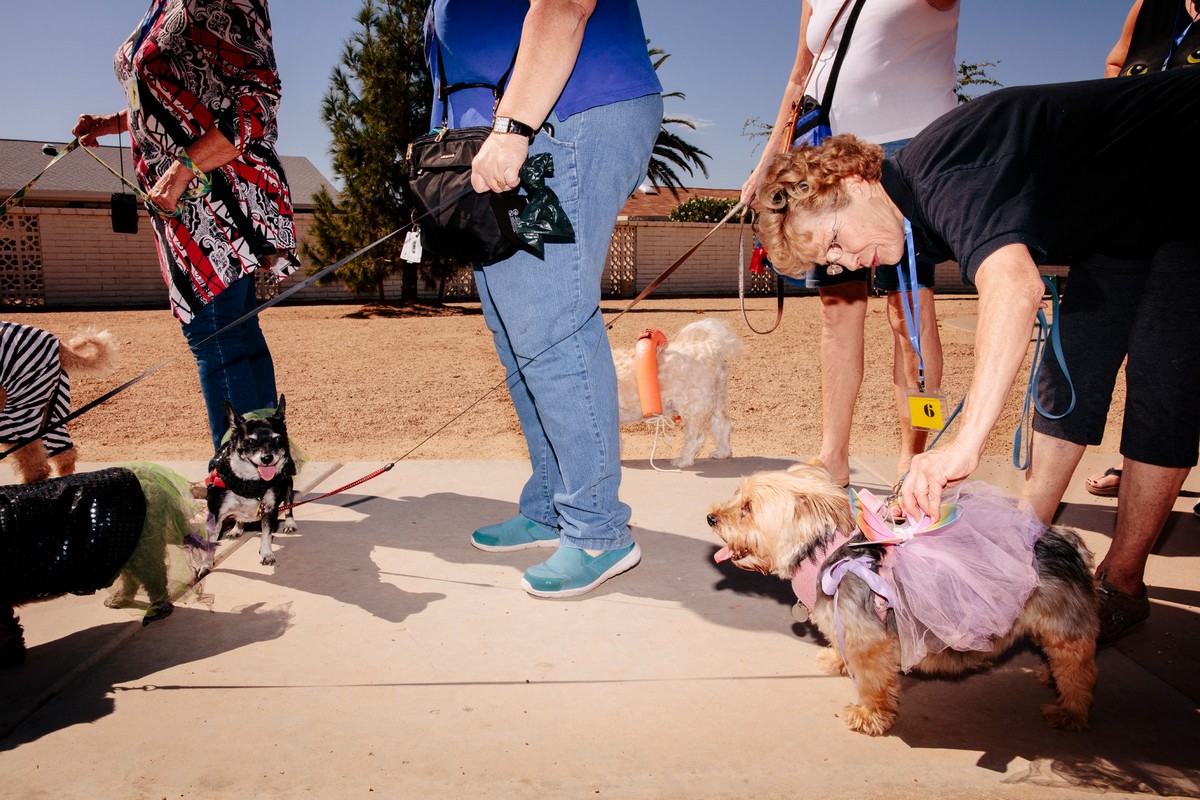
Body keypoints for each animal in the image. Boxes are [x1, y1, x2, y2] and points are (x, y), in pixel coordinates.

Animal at [614, 319, 744, 470]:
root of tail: (709, 348)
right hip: (715, 400)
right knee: (722, 425)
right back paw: (722, 453)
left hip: (694, 408)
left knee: (696, 438)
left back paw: (684, 460)